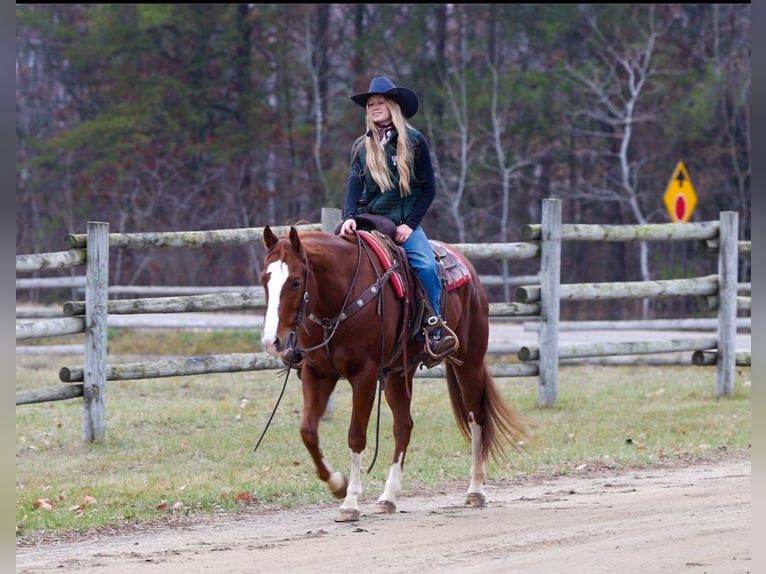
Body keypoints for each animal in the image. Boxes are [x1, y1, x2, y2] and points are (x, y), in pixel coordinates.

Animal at [260, 227, 524, 524]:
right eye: (264, 279)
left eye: (295, 282)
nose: (272, 341)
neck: (341, 295)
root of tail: (467, 268)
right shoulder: (317, 373)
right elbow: (308, 431)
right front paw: (337, 484)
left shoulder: (363, 375)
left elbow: (356, 436)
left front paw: (350, 503)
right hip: (399, 373)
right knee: (403, 427)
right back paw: (388, 497)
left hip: (470, 362)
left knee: (476, 418)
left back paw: (475, 490)